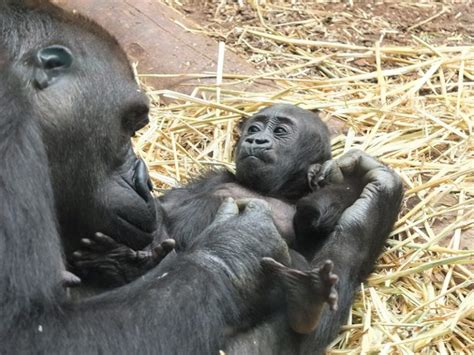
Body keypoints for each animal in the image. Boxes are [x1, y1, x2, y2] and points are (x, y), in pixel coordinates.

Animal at [75, 104, 362, 336]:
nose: (256, 140)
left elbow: (317, 222)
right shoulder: (213, 178)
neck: (270, 191)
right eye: (254, 128)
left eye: (280, 131)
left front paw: (328, 175)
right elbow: (167, 208)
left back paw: (306, 297)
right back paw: (121, 264)